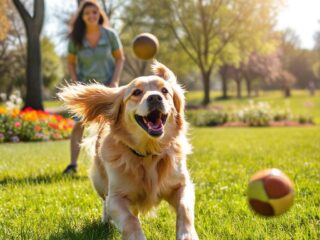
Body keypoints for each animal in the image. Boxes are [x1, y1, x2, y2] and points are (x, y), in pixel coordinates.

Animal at [57, 61, 198, 239]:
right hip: (100, 183)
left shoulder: (181, 185)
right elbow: (130, 220)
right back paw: (105, 221)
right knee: (106, 203)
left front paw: (187, 235)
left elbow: (185, 209)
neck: (148, 153)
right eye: (136, 92)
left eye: (165, 91)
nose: (155, 97)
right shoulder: (116, 197)